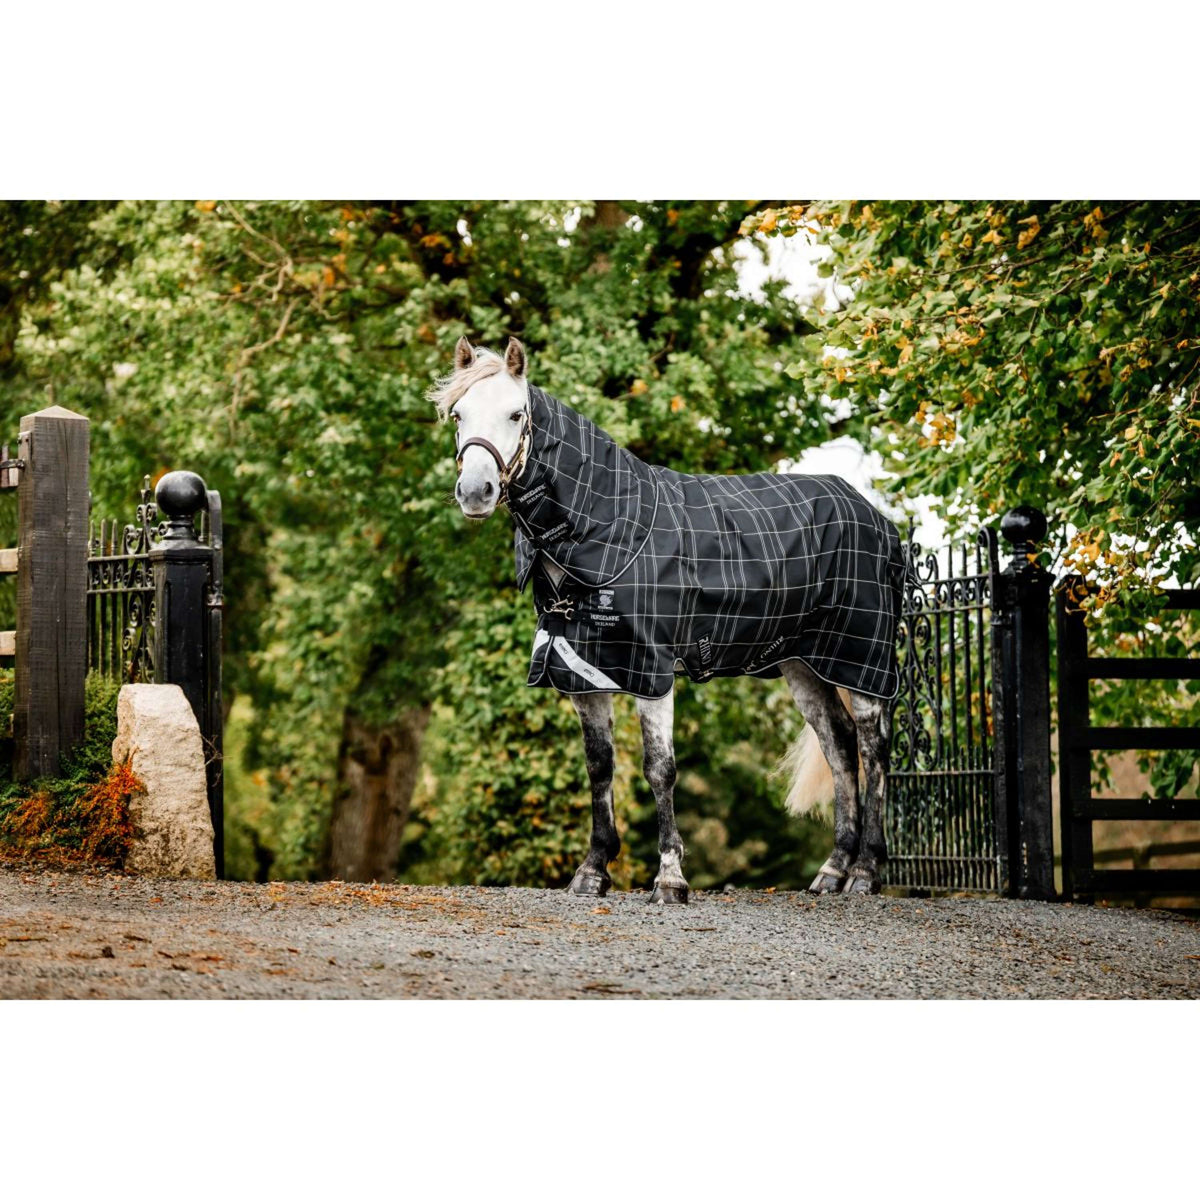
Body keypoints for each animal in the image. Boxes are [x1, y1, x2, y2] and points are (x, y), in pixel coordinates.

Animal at [433, 336, 904, 903]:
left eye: (516, 413)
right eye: (458, 414)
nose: (474, 491)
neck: (610, 528)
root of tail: (877, 519)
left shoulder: (651, 672)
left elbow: (660, 769)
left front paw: (670, 878)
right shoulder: (584, 674)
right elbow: (599, 768)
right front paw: (592, 871)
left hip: (861, 659)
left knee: (873, 747)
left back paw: (865, 873)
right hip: (804, 664)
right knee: (839, 747)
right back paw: (832, 871)